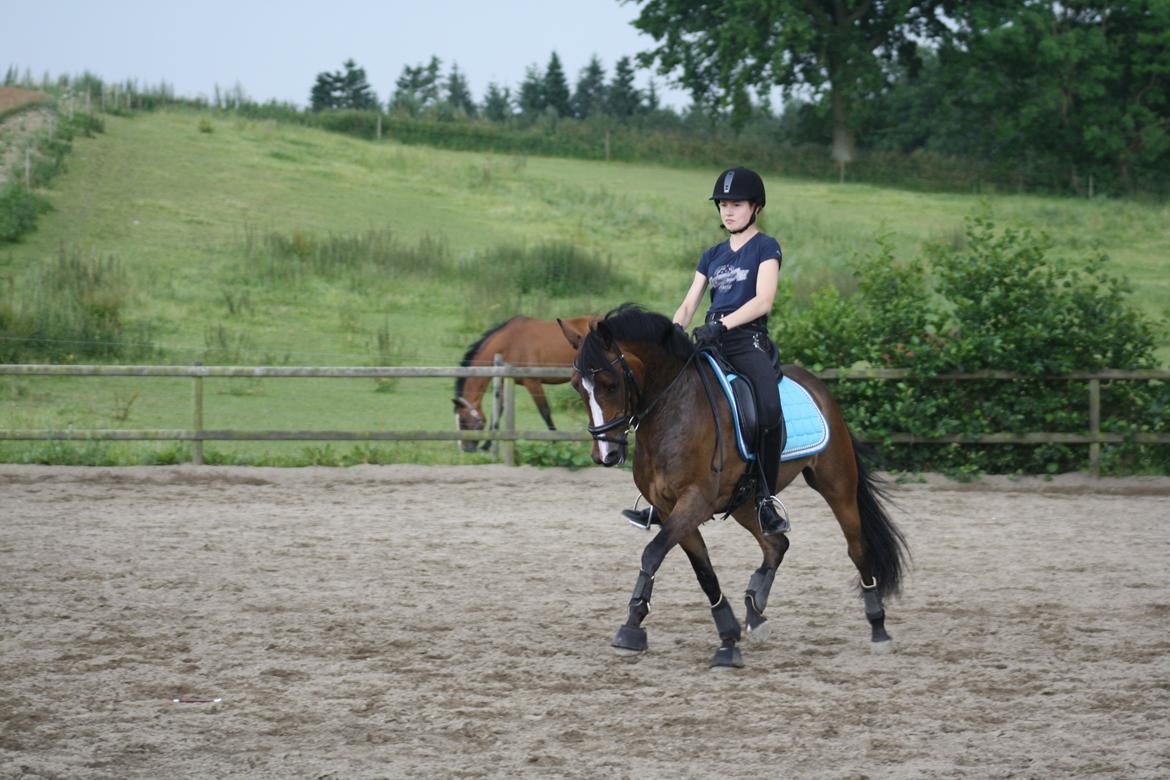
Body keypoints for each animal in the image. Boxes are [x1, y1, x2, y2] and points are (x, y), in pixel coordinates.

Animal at [454, 315, 598, 452]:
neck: (509, 342)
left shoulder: (532, 382)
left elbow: (545, 412)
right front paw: (486, 445)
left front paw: (555, 442)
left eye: (463, 419)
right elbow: (497, 412)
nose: (464, 448)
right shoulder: (505, 382)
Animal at [558, 305, 909, 669]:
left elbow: (653, 552)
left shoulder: (694, 501)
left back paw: (878, 628)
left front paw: (631, 626)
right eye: (577, 387)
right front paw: (727, 635)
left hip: (837, 485)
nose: (606, 454)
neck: (673, 409)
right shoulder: (671, 508)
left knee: (857, 549)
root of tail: (820, 388)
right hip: (745, 502)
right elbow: (703, 570)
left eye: (610, 384)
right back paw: (756, 611)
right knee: (776, 544)